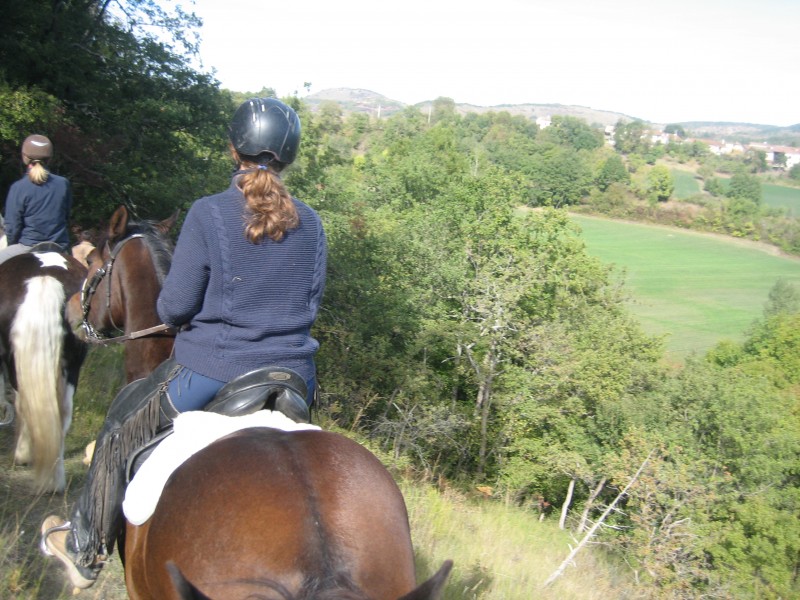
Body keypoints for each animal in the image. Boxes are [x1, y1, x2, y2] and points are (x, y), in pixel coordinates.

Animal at [0, 248, 87, 492]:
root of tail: (45, 276)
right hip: (72, 364)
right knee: (62, 414)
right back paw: (55, 480)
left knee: (24, 405)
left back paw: (23, 455)